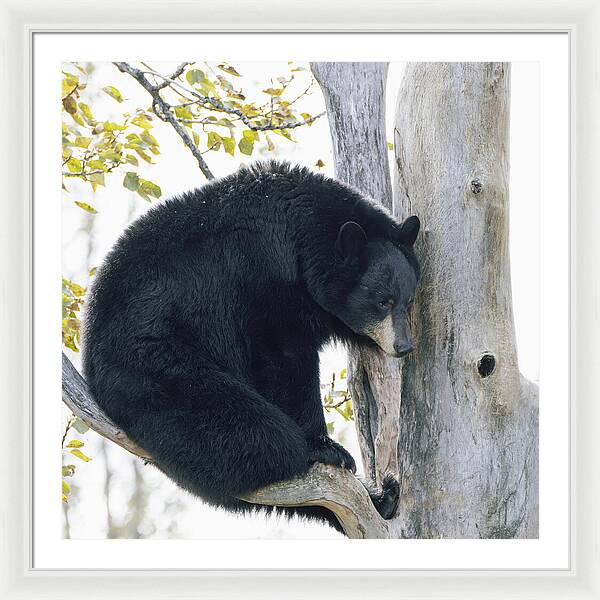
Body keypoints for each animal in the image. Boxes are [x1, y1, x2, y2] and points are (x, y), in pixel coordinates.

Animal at [82, 161, 420, 536]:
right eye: (382, 301)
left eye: (408, 300)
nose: (403, 346)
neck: (302, 238)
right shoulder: (261, 277)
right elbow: (283, 359)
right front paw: (324, 445)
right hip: (155, 363)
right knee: (252, 431)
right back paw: (304, 453)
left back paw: (382, 497)